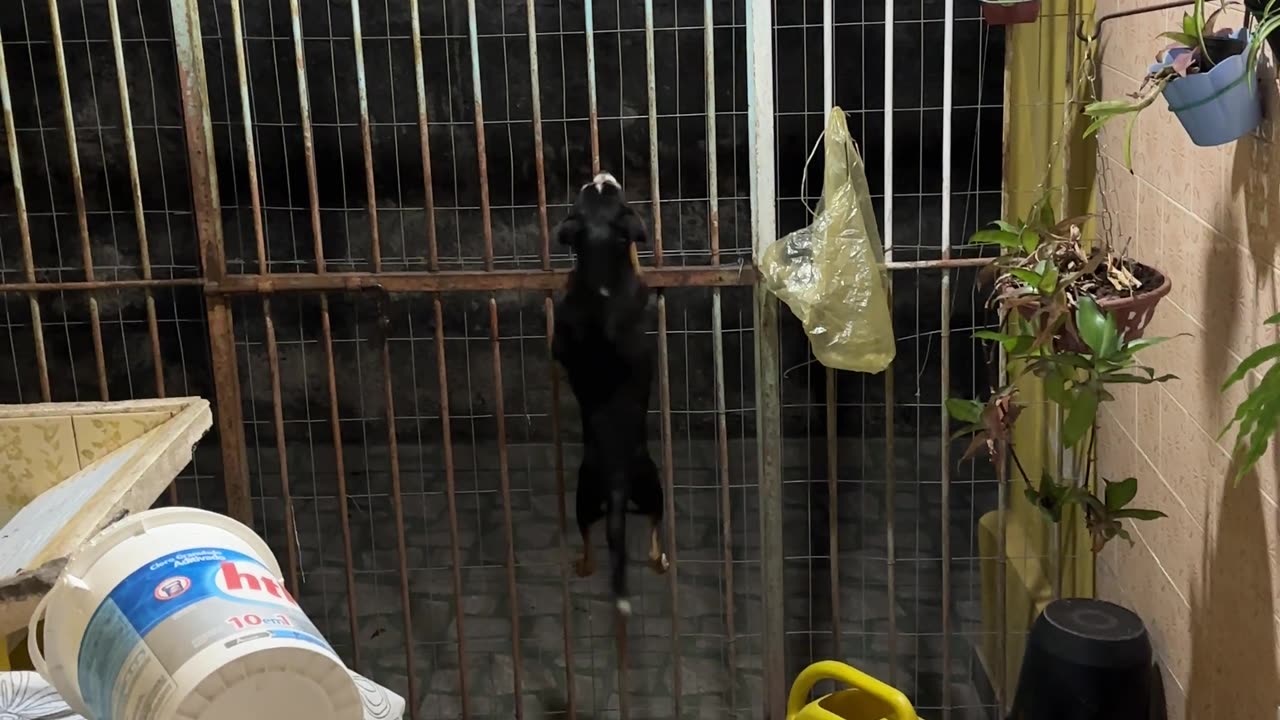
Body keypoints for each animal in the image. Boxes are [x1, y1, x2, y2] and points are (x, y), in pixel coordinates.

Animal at [552, 170, 670, 614]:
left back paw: (585, 567)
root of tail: (618, 486)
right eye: (604, 190)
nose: (601, 172)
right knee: (654, 533)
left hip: (583, 497)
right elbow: (638, 263)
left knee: (588, 538)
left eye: (590, 191)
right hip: (653, 487)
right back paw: (659, 560)